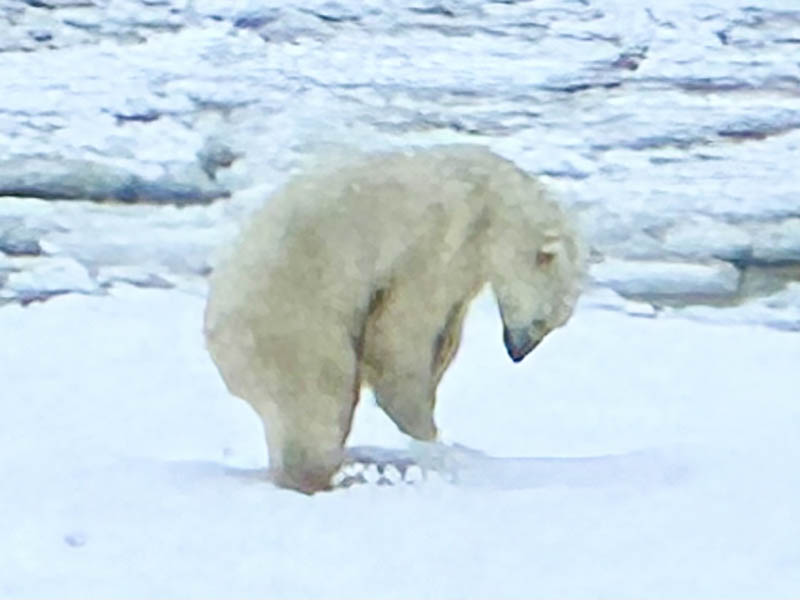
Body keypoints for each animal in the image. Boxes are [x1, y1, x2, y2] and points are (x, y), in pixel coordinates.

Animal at [204, 145, 585, 494]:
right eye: (543, 320)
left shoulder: (461, 277)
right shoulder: (434, 243)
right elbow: (397, 335)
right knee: (318, 403)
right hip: (290, 319)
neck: (488, 201)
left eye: (553, 326)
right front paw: (428, 435)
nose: (518, 353)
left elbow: (444, 335)